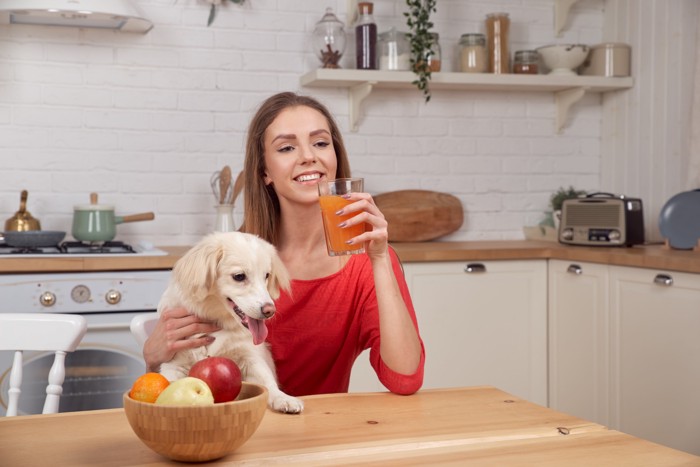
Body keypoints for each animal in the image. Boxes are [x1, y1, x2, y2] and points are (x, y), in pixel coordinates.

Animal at [159, 232, 304, 414]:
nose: (270, 311)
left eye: (266, 275)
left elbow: (267, 380)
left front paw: (283, 398)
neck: (218, 321)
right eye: (239, 276)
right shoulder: (174, 364)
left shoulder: (251, 358)